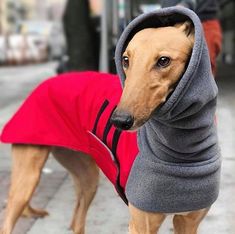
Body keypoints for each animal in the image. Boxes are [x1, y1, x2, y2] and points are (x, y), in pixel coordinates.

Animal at [0, 10, 218, 234]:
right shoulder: (141, 224)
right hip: (27, 178)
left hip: (87, 178)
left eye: (164, 60)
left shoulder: (188, 221)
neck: (182, 151)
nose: (119, 120)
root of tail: (41, 85)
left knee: (77, 220)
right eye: (125, 60)